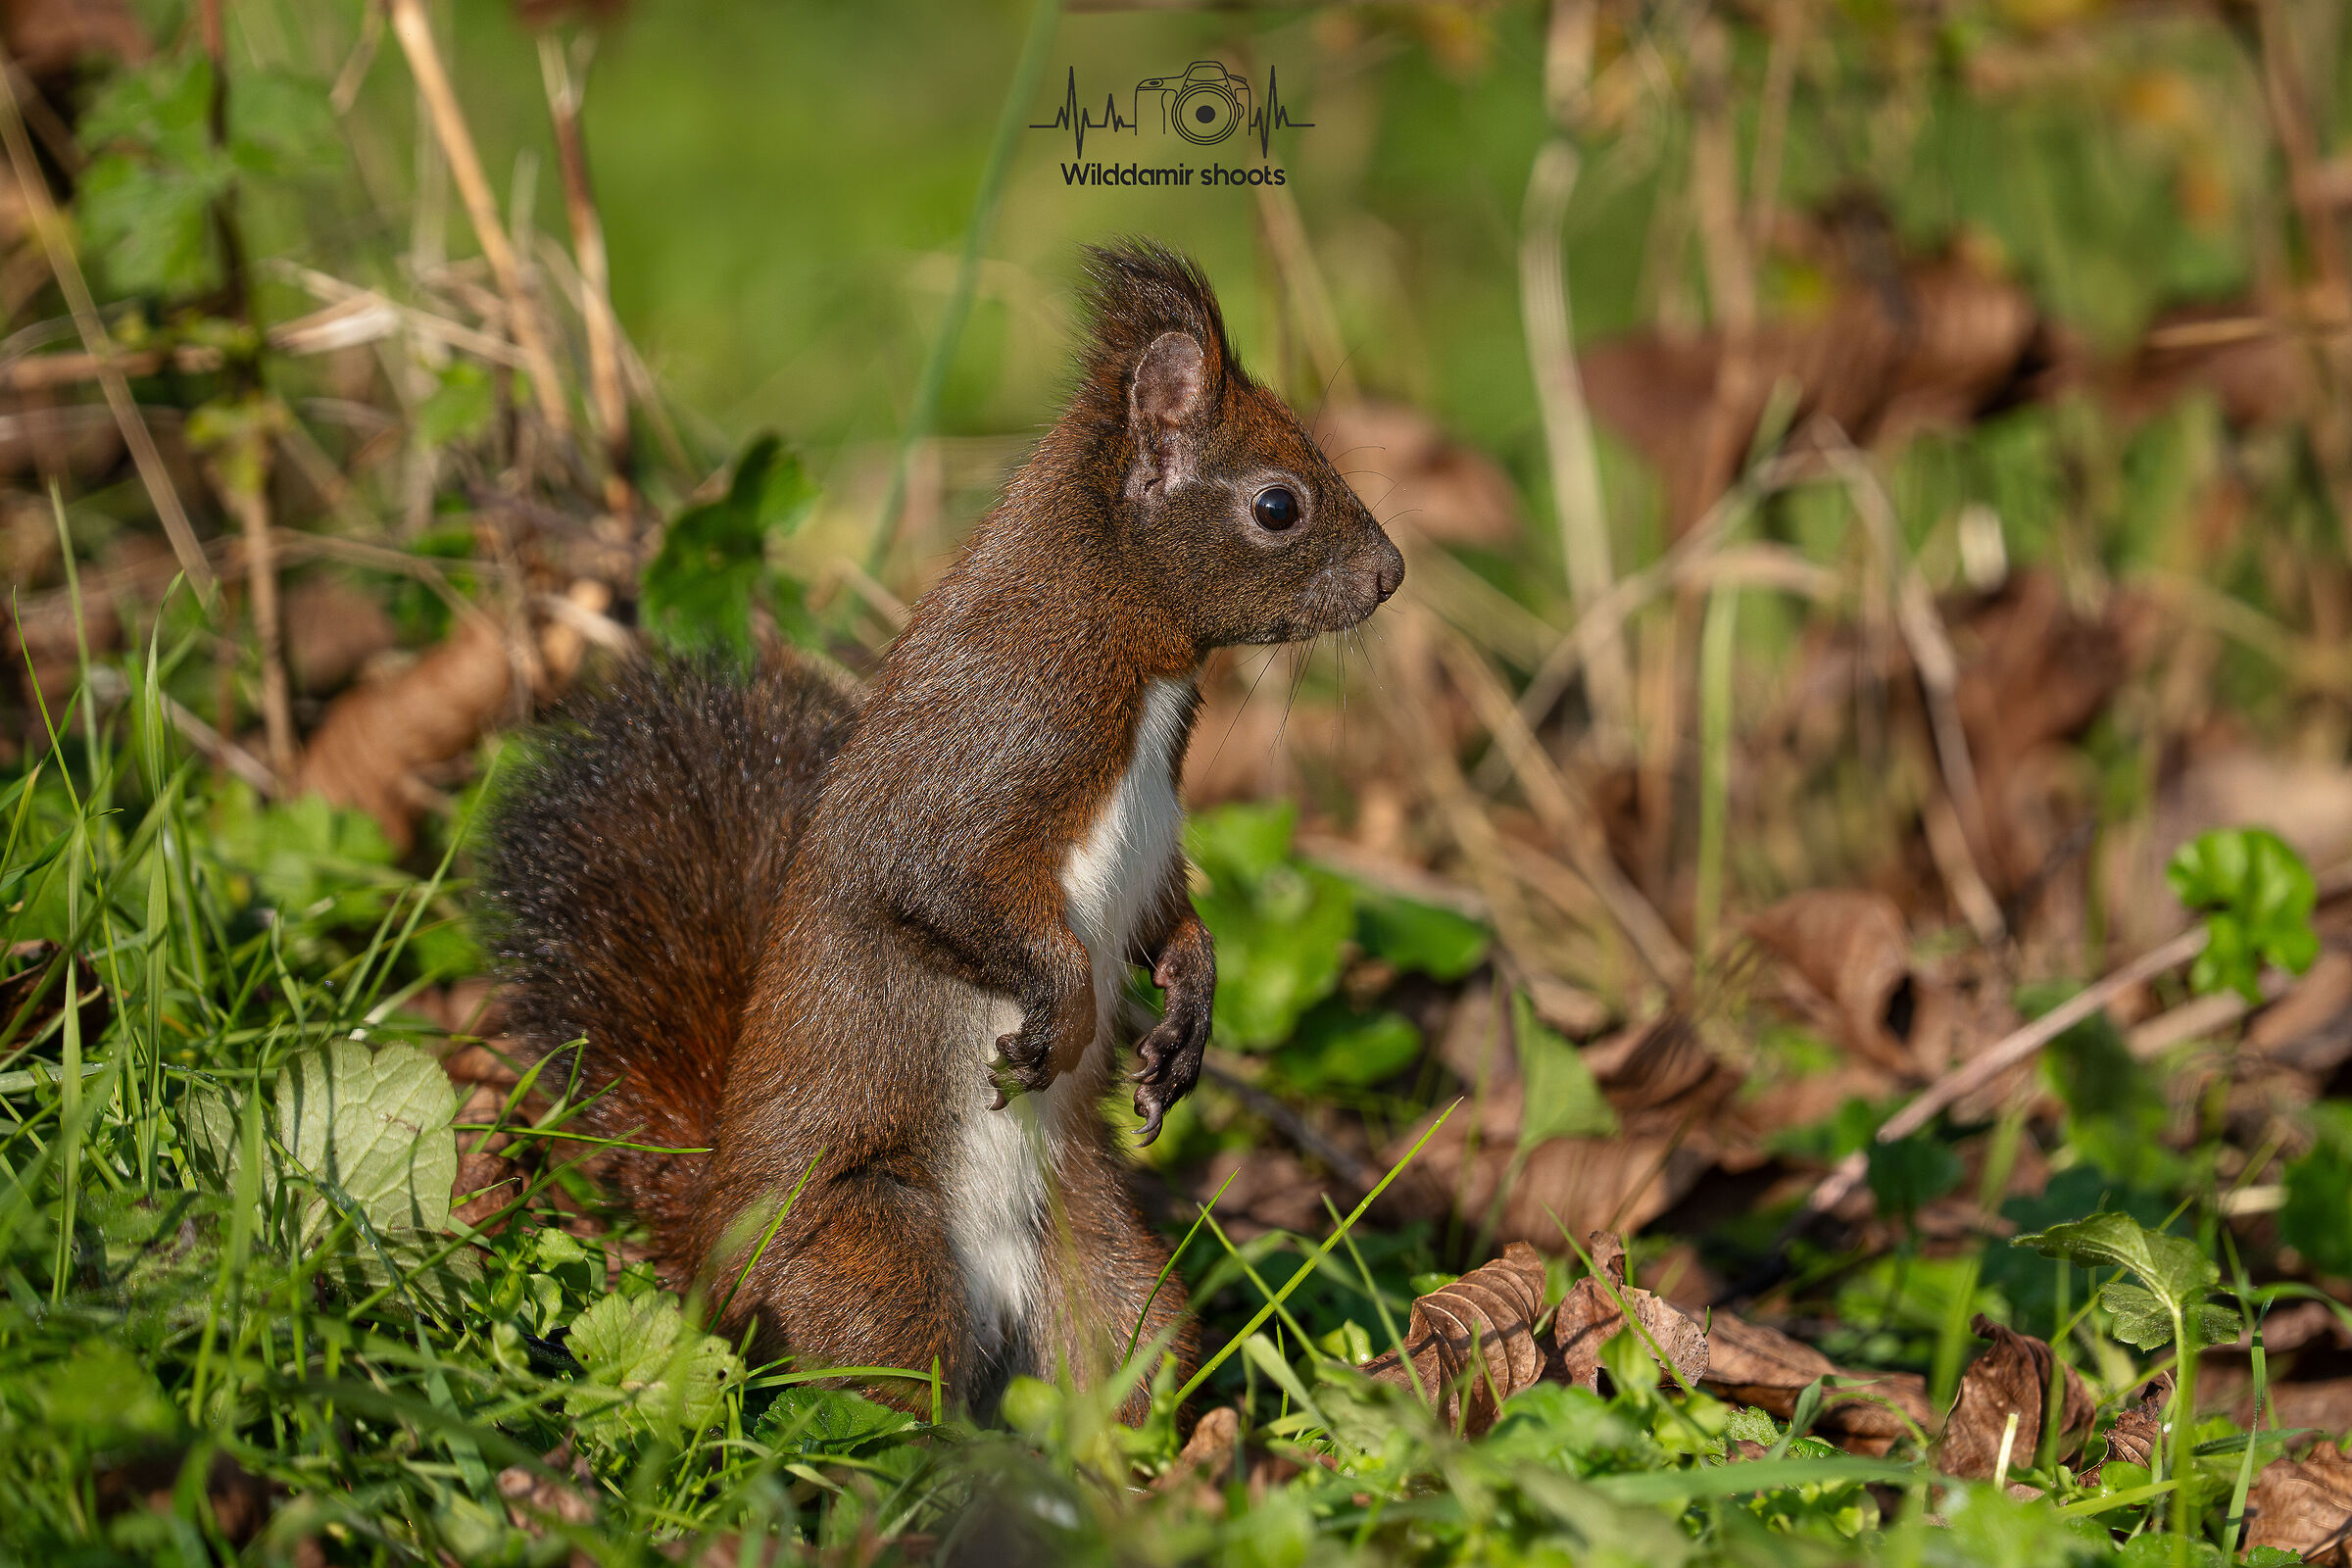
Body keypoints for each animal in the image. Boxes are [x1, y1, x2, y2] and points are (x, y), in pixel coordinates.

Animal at [480, 241, 1404, 1419]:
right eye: (1278, 504)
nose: (1391, 575)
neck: (1132, 656)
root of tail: (709, 1261)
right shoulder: (981, 763)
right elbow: (943, 890)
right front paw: (1058, 1015)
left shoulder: (1155, 835)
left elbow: (1171, 921)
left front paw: (1185, 1023)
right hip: (872, 1250)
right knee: (873, 1401)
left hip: (1105, 1275)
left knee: (1122, 1368)